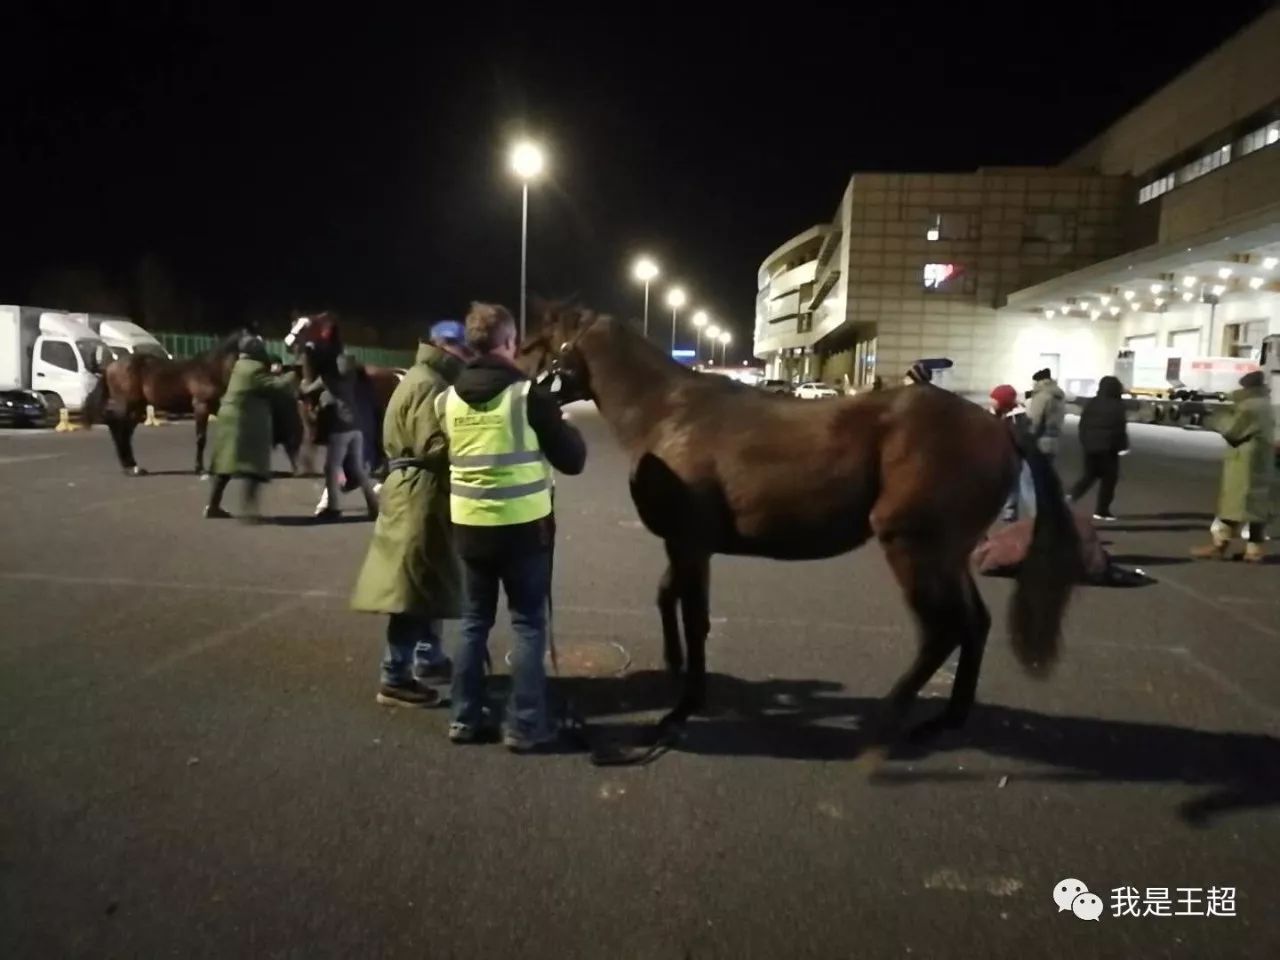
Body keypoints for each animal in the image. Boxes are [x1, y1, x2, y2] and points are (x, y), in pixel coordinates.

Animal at [84, 328, 281, 476]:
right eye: (254, 344)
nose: (272, 366)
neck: (210, 370)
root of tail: (109, 367)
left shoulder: (215, 406)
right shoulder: (201, 406)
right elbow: (201, 438)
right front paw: (200, 469)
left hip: (137, 408)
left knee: (125, 432)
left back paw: (134, 466)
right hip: (126, 404)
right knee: (117, 428)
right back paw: (128, 468)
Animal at [521, 303, 1081, 765]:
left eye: (538, 342)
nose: (519, 383)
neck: (668, 413)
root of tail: (1000, 427)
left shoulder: (691, 545)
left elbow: (696, 617)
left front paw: (684, 705)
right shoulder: (683, 545)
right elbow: (667, 596)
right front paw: (675, 665)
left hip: (915, 550)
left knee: (942, 630)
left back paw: (890, 715)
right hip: (949, 555)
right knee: (975, 624)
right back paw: (949, 717)